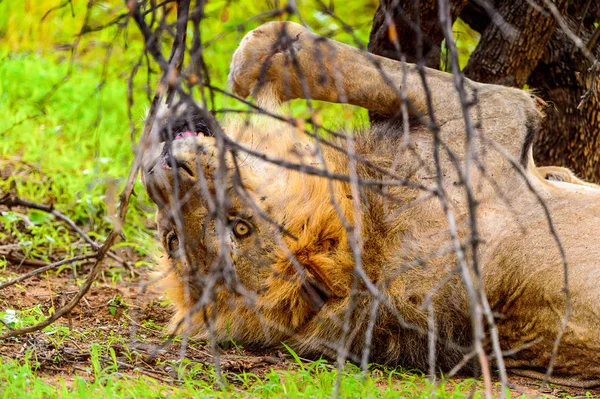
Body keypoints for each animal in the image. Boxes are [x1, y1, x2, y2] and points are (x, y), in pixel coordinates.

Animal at [142, 21, 600, 388]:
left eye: (238, 227)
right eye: (175, 240)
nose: (167, 169)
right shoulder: (490, 118)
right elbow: (360, 67)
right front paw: (257, 51)